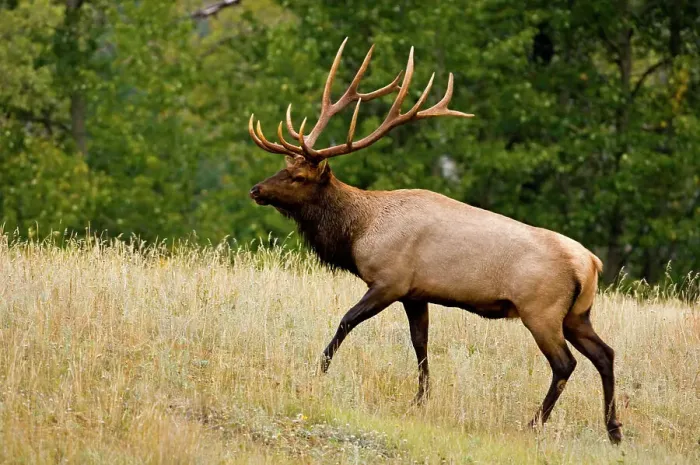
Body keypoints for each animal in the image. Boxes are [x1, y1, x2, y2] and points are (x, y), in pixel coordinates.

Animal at [248, 38, 622, 444]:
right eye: (284, 167)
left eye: (299, 176)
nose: (256, 190)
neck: (359, 232)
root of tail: (591, 264)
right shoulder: (416, 293)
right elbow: (420, 343)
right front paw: (420, 400)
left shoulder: (389, 281)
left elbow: (346, 321)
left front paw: (319, 371)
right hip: (577, 314)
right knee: (605, 354)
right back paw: (613, 429)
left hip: (541, 310)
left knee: (565, 363)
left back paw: (534, 423)